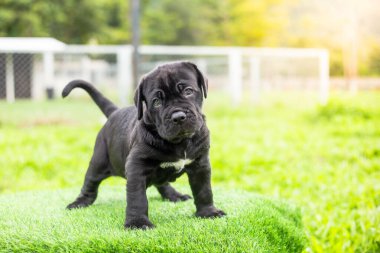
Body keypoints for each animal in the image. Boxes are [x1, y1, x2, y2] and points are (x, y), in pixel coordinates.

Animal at [63, 61, 226, 229]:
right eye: (157, 102)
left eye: (188, 91)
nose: (178, 116)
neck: (180, 142)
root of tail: (115, 112)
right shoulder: (137, 166)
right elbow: (137, 198)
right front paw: (137, 223)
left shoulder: (200, 164)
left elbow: (204, 190)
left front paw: (208, 212)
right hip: (99, 161)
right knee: (90, 182)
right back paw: (79, 202)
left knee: (162, 183)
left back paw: (174, 195)